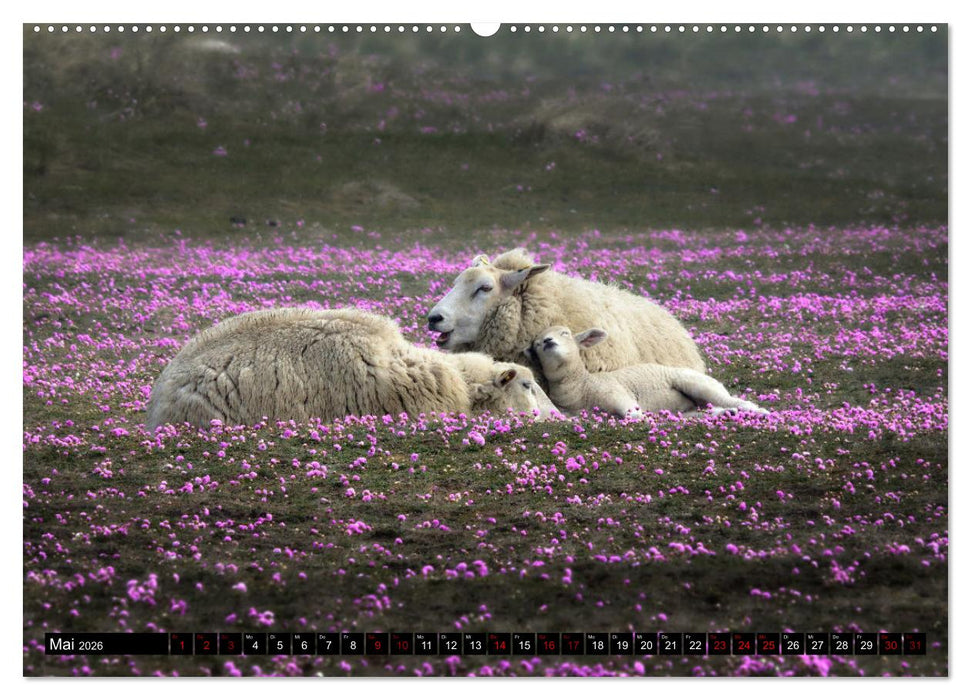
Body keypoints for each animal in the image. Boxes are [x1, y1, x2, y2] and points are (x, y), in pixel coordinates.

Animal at [528, 325, 767, 420]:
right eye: (537, 344)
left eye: (565, 333)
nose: (548, 341)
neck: (580, 384)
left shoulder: (617, 393)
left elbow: (634, 414)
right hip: (690, 406)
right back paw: (726, 413)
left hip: (697, 383)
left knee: (734, 399)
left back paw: (757, 411)